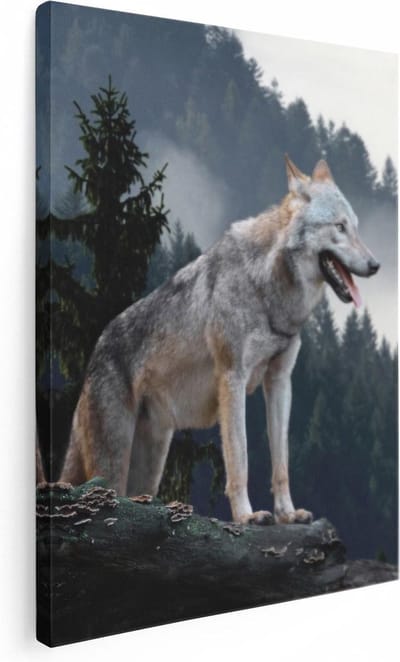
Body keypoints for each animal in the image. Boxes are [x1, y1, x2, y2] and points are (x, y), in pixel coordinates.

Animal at [61, 156, 379, 524]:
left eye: (355, 227)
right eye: (339, 227)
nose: (375, 264)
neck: (267, 289)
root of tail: (95, 351)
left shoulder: (280, 381)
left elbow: (281, 462)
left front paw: (287, 513)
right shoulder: (233, 378)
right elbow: (239, 460)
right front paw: (247, 516)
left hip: (149, 467)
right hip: (112, 463)